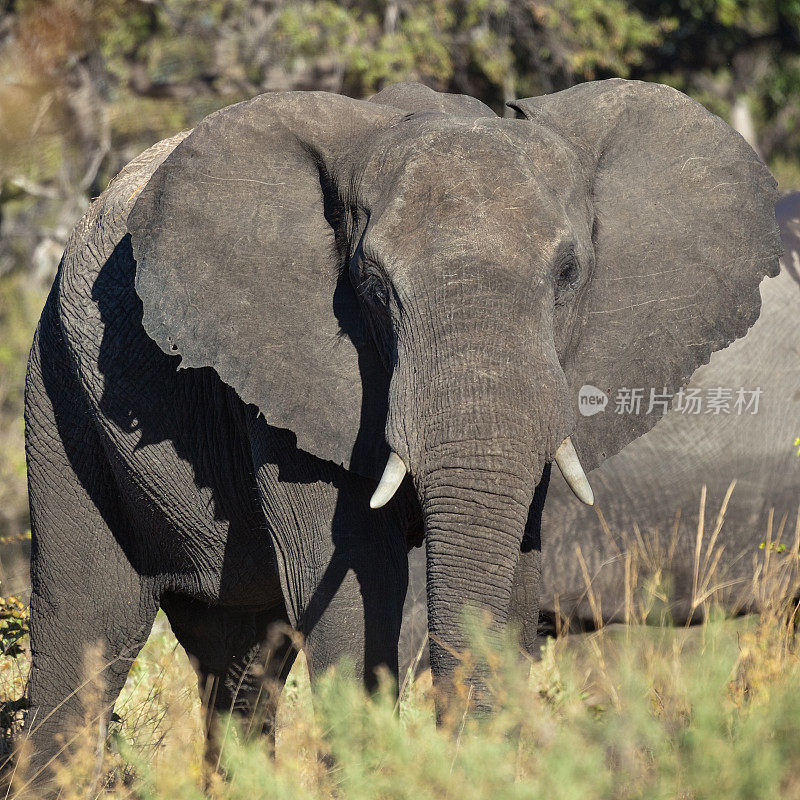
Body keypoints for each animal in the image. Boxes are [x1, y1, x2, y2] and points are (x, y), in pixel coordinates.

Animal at [23, 81, 776, 788]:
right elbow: (360, 593)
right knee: (84, 632)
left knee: (239, 659)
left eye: (569, 273)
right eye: (372, 282)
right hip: (59, 392)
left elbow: (514, 582)